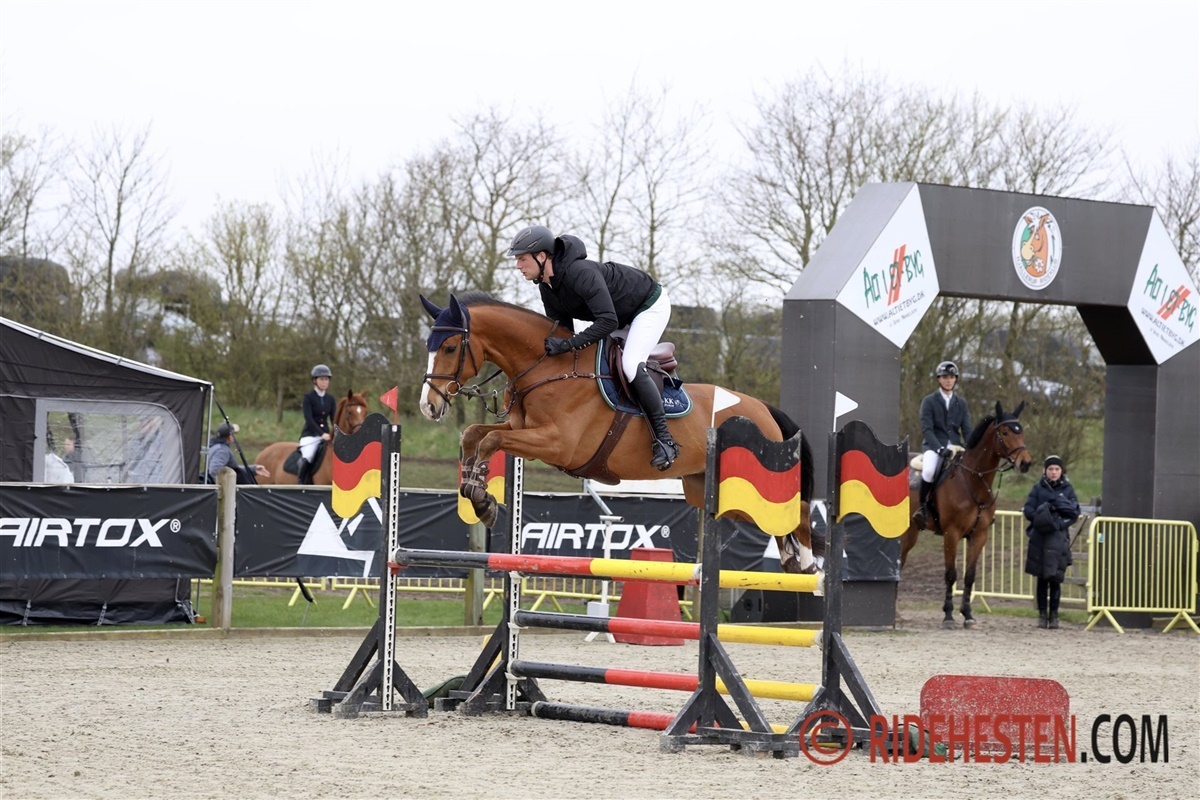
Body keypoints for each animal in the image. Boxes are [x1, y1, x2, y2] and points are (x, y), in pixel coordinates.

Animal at [417, 292, 820, 574]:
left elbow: (491, 439)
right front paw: (475, 492)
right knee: (775, 519)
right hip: (710, 491)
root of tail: (764, 408)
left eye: (450, 347)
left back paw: (808, 563)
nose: (428, 406)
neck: (548, 367)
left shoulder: (557, 444)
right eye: (428, 346)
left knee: (797, 508)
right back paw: (790, 559)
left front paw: (481, 497)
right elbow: (474, 434)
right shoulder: (525, 431)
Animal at [899, 401, 1032, 628]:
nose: (1025, 463)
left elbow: (969, 576)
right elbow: (951, 575)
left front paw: (968, 615)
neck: (972, 481)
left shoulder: (979, 535)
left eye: (1021, 431)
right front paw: (948, 616)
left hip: (911, 531)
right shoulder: (951, 534)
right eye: (1004, 432)